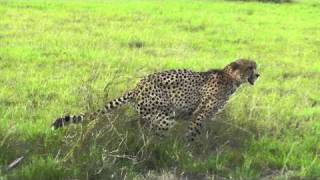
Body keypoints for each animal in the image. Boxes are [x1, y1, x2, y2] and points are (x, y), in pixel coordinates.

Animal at [51, 58, 258, 141]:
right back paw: (162, 149)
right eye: (250, 67)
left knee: (141, 127)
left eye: (255, 67)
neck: (231, 79)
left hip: (152, 114)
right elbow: (192, 134)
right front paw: (187, 151)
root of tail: (137, 87)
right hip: (165, 114)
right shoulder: (200, 114)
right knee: (155, 137)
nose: (258, 75)